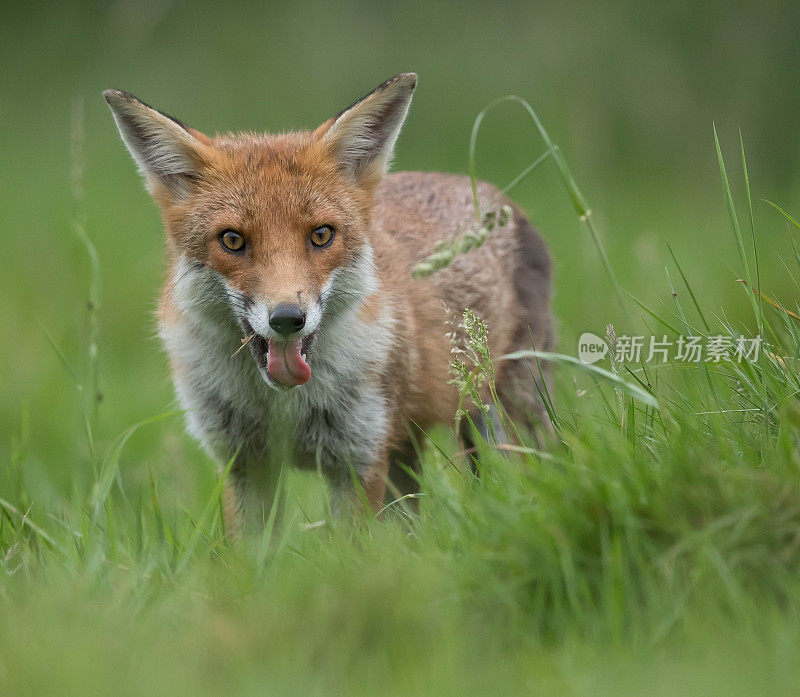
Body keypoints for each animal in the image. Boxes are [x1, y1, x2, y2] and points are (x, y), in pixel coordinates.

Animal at [104, 73, 556, 536]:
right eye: (232, 240)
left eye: (321, 235)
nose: (288, 319)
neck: (284, 408)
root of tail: (492, 194)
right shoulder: (245, 465)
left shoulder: (359, 459)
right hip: (407, 449)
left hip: (500, 419)